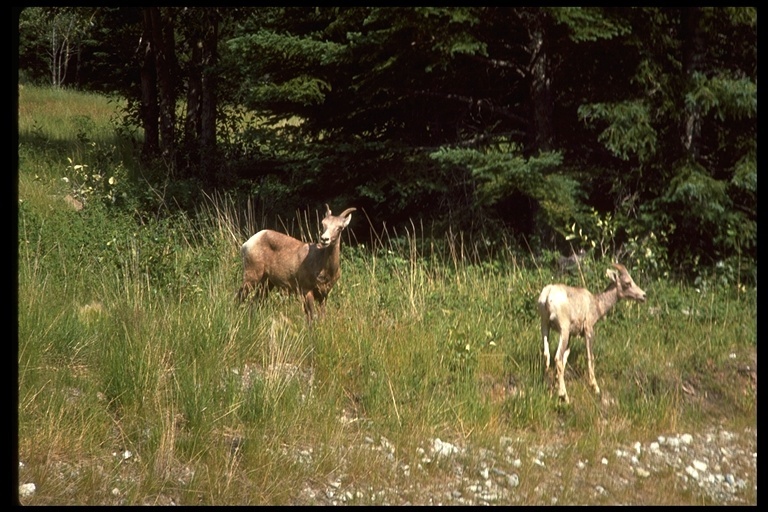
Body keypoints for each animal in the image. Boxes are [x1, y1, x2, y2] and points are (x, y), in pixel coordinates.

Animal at [540, 264, 648, 404]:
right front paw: (595, 388)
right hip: (563, 331)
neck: (596, 304)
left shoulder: (571, 337)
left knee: (547, 355)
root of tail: (548, 295)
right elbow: (590, 357)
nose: (643, 295)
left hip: (545, 327)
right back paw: (565, 397)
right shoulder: (588, 330)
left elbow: (565, 360)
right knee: (557, 358)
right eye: (627, 283)